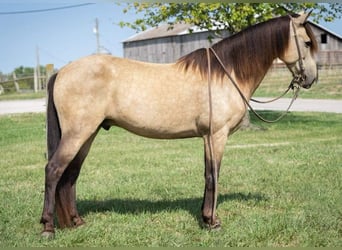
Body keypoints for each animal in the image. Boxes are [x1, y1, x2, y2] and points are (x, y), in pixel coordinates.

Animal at [40, 12, 318, 238]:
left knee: (70, 175)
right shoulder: (217, 135)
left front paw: (205, 219)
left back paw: (76, 222)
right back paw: (48, 228)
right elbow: (213, 175)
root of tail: (62, 72)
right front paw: (213, 222)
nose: (311, 79)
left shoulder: (206, 137)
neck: (226, 73)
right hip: (78, 133)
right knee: (54, 171)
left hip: (87, 135)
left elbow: (207, 174)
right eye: (306, 42)